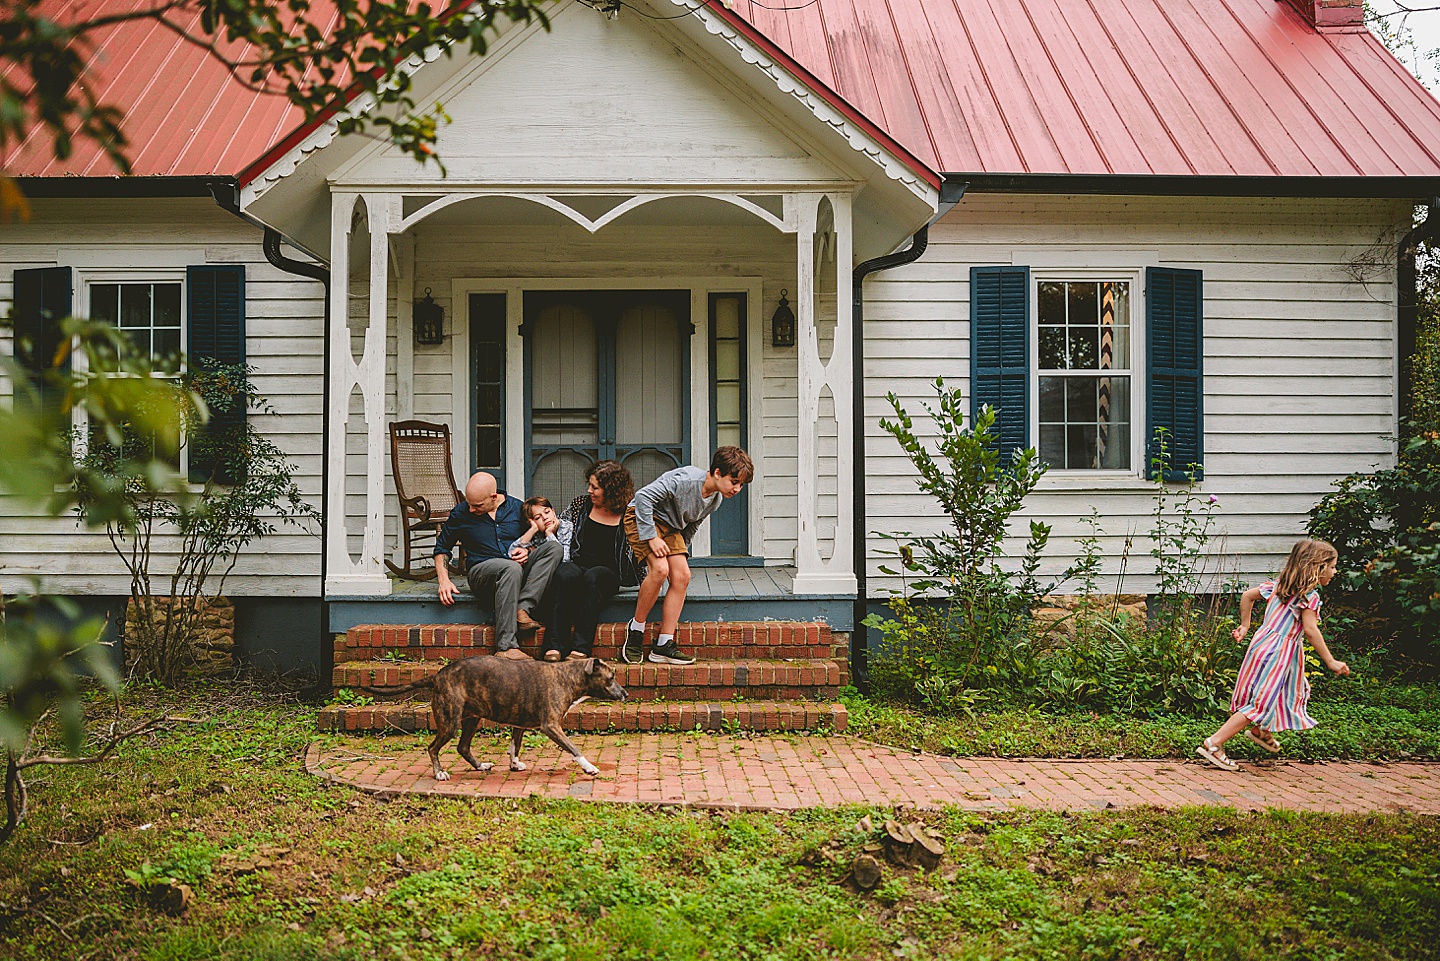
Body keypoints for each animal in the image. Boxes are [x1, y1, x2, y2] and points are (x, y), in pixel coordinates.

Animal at [360, 654, 624, 783]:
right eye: (611, 677)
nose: (626, 693)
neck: (568, 676)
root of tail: (438, 675)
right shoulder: (551, 726)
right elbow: (573, 748)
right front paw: (589, 767)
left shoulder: (520, 725)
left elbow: (515, 746)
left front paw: (515, 764)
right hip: (450, 722)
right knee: (433, 748)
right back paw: (439, 773)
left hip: (471, 720)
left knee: (463, 747)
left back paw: (480, 766)